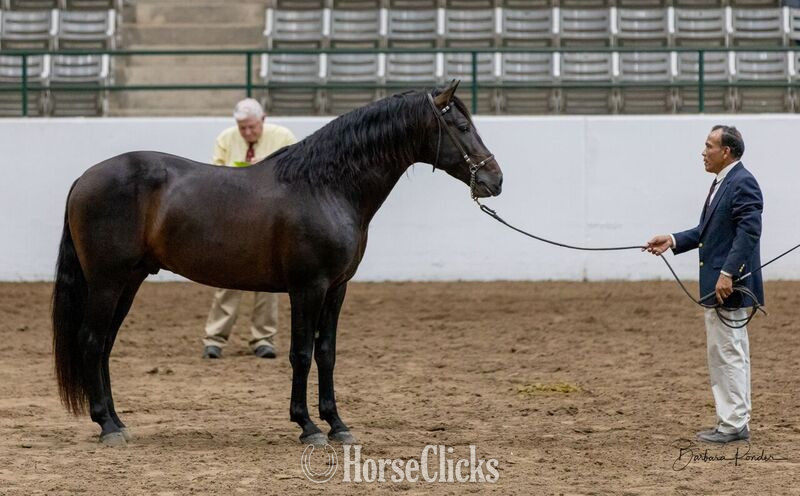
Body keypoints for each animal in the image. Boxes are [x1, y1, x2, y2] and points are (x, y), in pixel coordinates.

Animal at [51, 80, 503, 447]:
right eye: (462, 128)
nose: (495, 180)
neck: (326, 187)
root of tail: (84, 178)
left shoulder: (337, 289)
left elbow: (326, 353)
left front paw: (338, 425)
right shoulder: (308, 288)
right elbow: (301, 353)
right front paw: (308, 427)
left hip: (129, 281)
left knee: (104, 345)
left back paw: (118, 421)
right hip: (107, 282)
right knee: (91, 341)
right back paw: (107, 428)